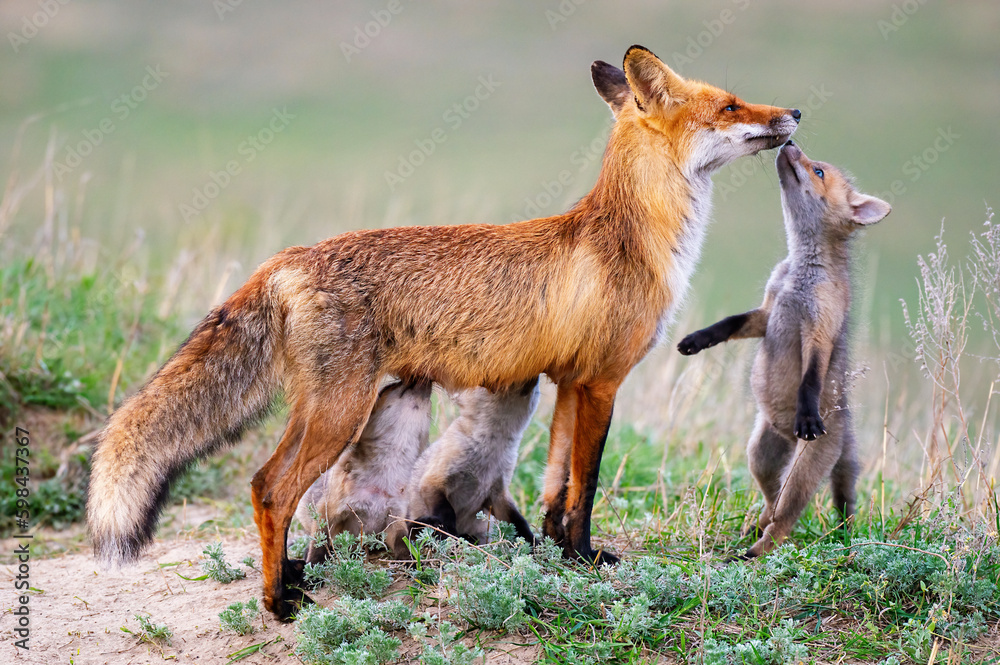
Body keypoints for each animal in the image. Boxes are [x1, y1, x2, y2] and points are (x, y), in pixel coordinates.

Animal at [294, 380, 432, 564]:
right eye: (391, 386)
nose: (427, 379)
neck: (380, 483)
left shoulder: (395, 516)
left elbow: (403, 542)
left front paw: (411, 562)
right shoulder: (329, 509)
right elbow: (319, 542)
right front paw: (313, 566)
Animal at [392, 377, 541, 550]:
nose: (535, 376)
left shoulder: (498, 493)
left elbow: (519, 522)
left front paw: (537, 545)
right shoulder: (433, 481)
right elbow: (447, 513)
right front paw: (450, 536)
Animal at [677, 140, 890, 558]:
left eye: (818, 171)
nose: (791, 143)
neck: (798, 278)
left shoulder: (819, 331)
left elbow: (810, 378)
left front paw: (807, 415)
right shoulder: (768, 312)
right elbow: (729, 324)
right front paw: (697, 340)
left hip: (802, 474)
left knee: (786, 519)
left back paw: (756, 552)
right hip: (760, 455)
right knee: (771, 502)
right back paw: (754, 529)